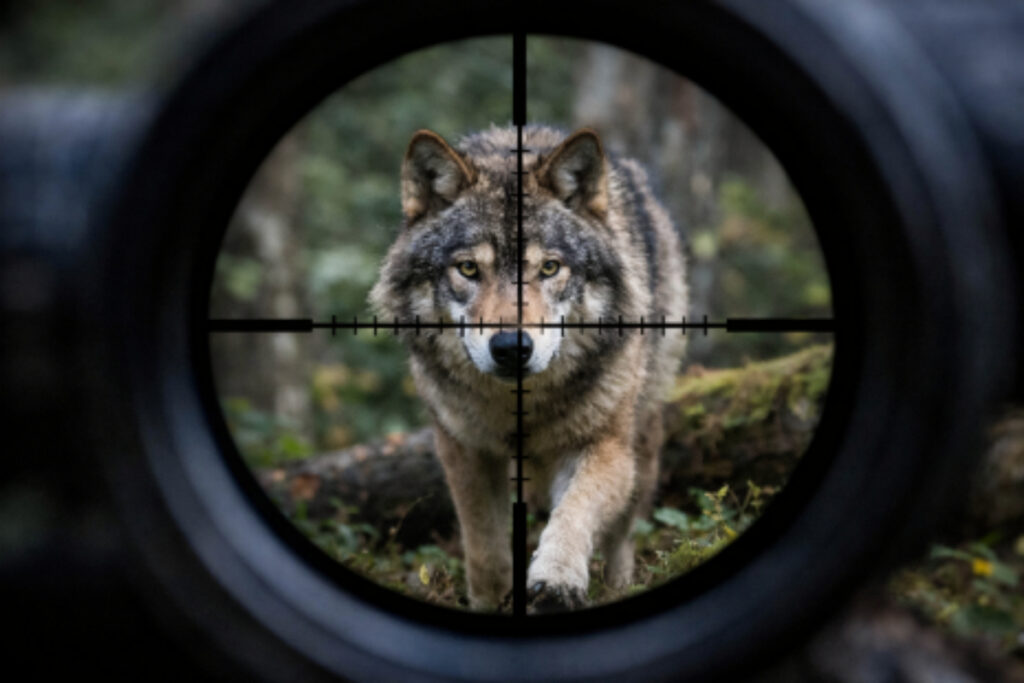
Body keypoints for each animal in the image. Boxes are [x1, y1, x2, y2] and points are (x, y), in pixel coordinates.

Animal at [370, 125, 687, 611]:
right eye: (468, 269)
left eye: (549, 268)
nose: (510, 347)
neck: (519, 407)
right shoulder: (464, 451)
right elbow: (485, 550)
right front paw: (491, 602)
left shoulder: (605, 446)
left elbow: (575, 511)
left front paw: (556, 579)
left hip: (642, 443)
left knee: (622, 535)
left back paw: (618, 586)